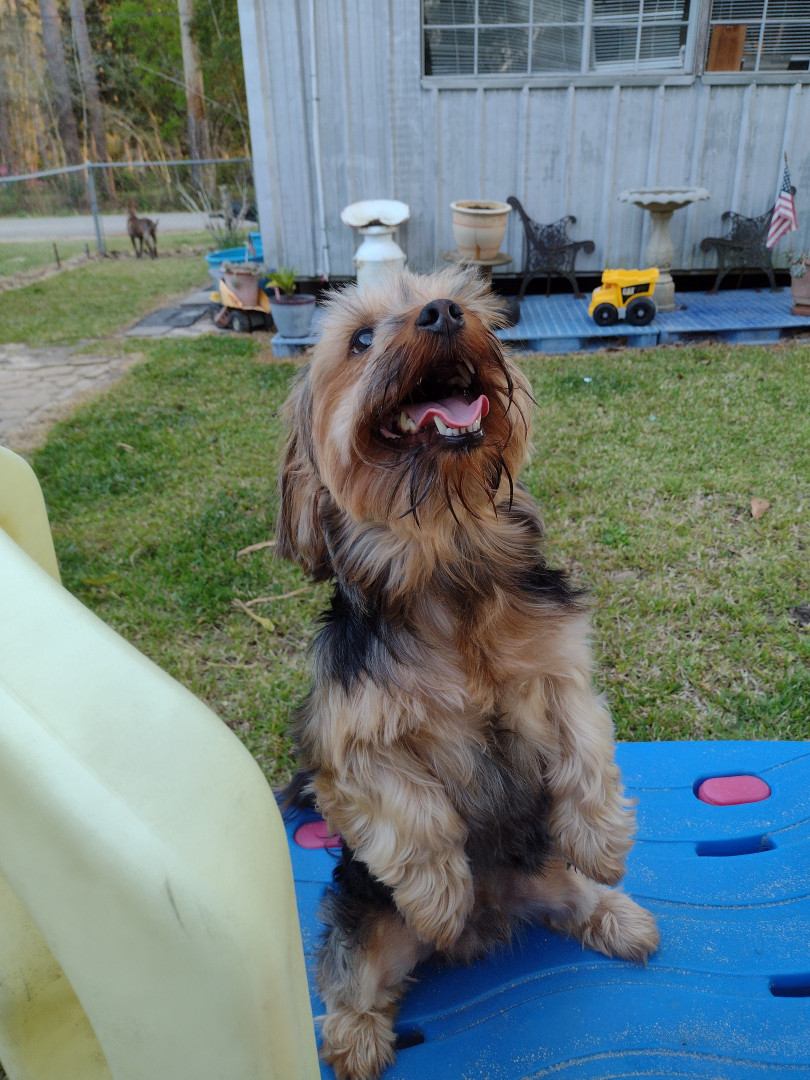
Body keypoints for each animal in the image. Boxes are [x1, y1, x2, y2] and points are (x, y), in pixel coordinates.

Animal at [277, 267, 659, 1080]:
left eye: (468, 299)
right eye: (360, 339)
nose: (444, 313)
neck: (445, 557)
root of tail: (498, 915)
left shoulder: (560, 666)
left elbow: (588, 748)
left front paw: (604, 842)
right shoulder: (342, 745)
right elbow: (412, 810)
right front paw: (441, 894)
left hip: (542, 869)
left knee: (570, 893)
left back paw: (615, 913)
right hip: (367, 924)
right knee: (353, 979)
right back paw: (362, 1031)